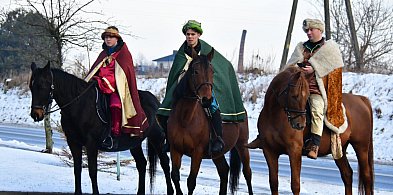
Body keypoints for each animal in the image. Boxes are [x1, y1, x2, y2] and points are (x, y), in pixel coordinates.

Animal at [29, 61, 173, 195]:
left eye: (42, 85)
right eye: (31, 87)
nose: (36, 114)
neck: (79, 105)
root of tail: (156, 102)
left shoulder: (91, 144)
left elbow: (93, 171)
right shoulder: (74, 143)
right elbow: (77, 169)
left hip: (157, 139)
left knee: (165, 163)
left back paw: (170, 191)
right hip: (134, 143)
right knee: (142, 164)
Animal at [167, 47, 253, 195]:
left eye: (212, 72)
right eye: (195, 71)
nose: (207, 99)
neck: (185, 119)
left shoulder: (197, 153)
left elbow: (191, 181)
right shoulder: (175, 149)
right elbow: (175, 176)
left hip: (242, 144)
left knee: (247, 173)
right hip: (218, 153)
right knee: (224, 171)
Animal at [248, 67, 374, 195]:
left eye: (307, 96)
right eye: (294, 95)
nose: (300, 125)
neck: (274, 115)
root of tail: (361, 99)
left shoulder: (294, 151)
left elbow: (295, 185)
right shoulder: (269, 151)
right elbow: (273, 183)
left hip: (361, 146)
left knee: (367, 176)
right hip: (339, 149)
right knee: (347, 174)